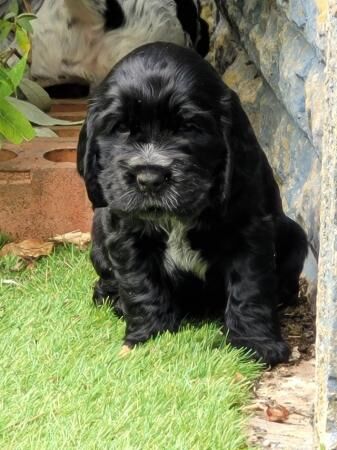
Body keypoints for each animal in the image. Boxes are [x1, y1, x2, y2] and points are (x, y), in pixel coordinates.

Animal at [77, 41, 308, 366]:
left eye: (188, 127)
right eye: (121, 127)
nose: (149, 178)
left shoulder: (249, 229)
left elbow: (250, 287)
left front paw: (255, 343)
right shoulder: (125, 232)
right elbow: (140, 284)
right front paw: (150, 336)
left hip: (294, 233)